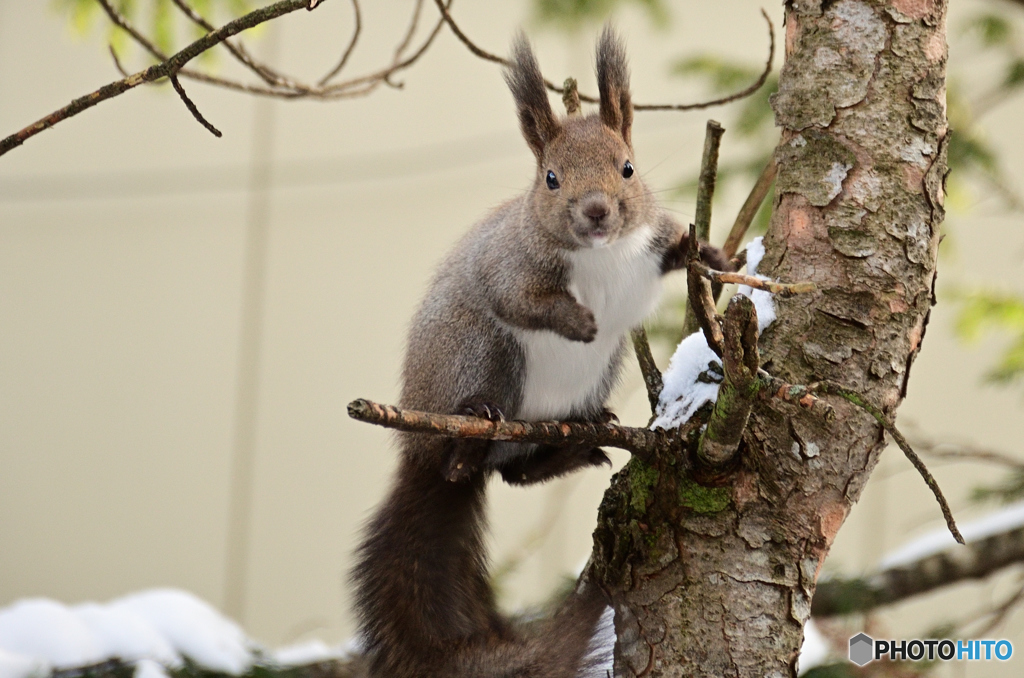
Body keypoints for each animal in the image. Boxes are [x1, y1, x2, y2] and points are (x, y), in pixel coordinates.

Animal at [352, 27, 729, 678]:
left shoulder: (644, 248)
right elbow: (521, 301)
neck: (599, 254)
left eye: (627, 168)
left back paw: (577, 441)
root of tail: (417, 451)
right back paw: (469, 437)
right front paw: (578, 321)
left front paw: (708, 254)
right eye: (551, 178)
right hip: (485, 354)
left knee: (515, 473)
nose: (596, 210)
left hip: (596, 375)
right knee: (469, 459)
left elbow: (673, 251)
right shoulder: (509, 267)